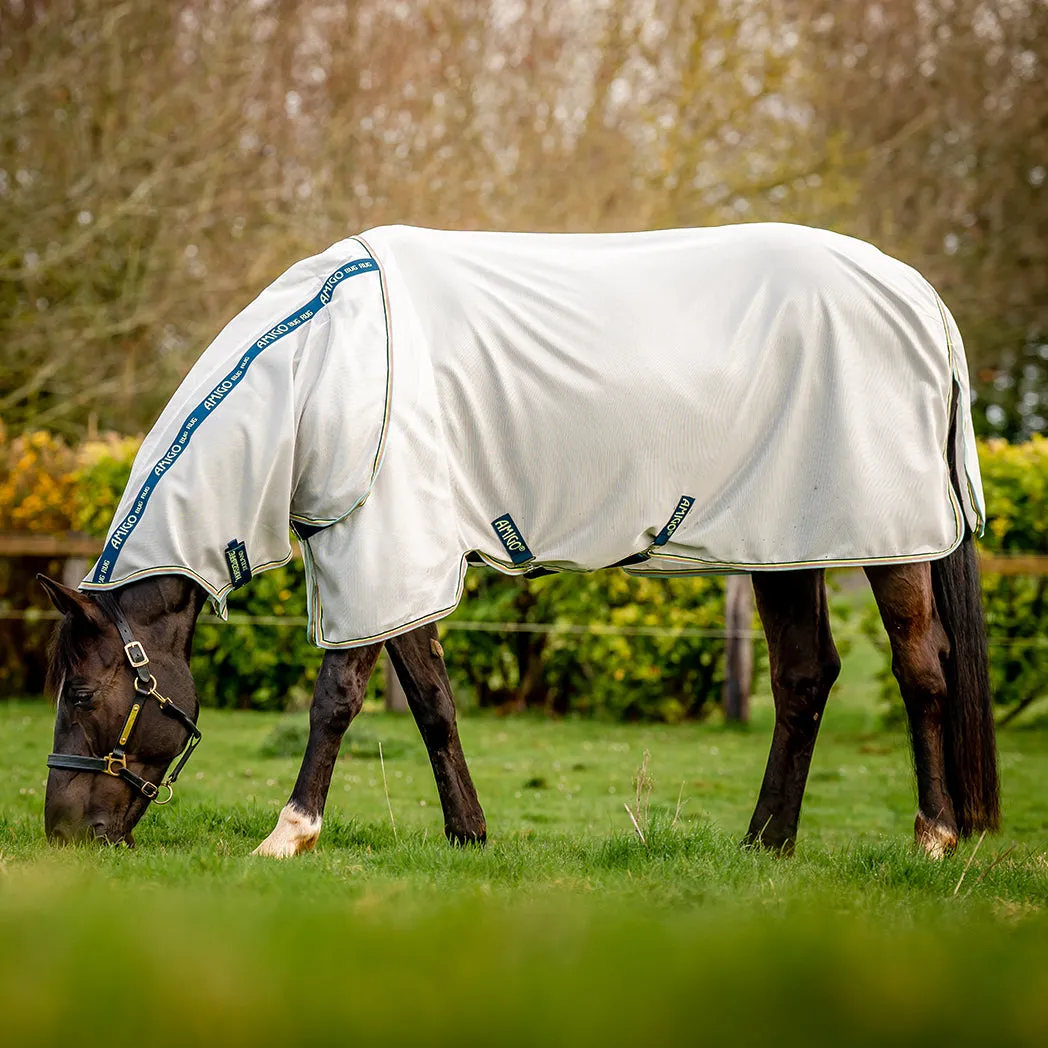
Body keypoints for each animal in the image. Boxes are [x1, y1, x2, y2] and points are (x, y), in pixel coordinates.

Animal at [38, 221, 997, 850]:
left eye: (81, 694)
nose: (62, 833)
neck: (320, 367)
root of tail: (922, 298)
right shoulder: (398, 561)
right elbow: (431, 702)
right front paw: (468, 834)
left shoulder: (378, 545)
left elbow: (337, 698)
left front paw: (291, 833)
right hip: (784, 546)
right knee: (804, 678)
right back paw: (765, 842)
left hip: (892, 542)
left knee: (922, 669)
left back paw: (934, 836)